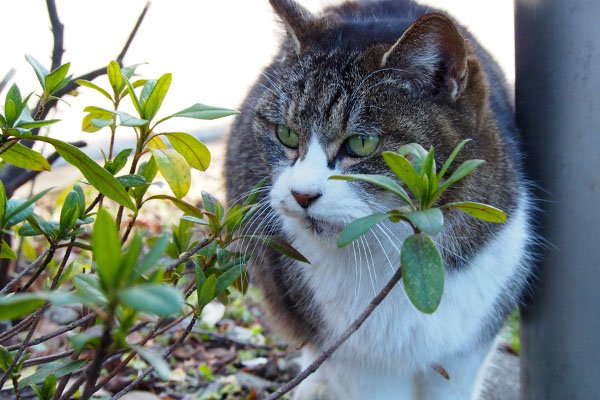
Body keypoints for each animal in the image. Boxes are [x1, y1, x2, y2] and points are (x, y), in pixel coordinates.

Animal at [224, 1, 528, 398]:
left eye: (362, 143)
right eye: (286, 134)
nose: (301, 194)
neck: (409, 259)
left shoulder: (467, 351)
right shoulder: (357, 359)